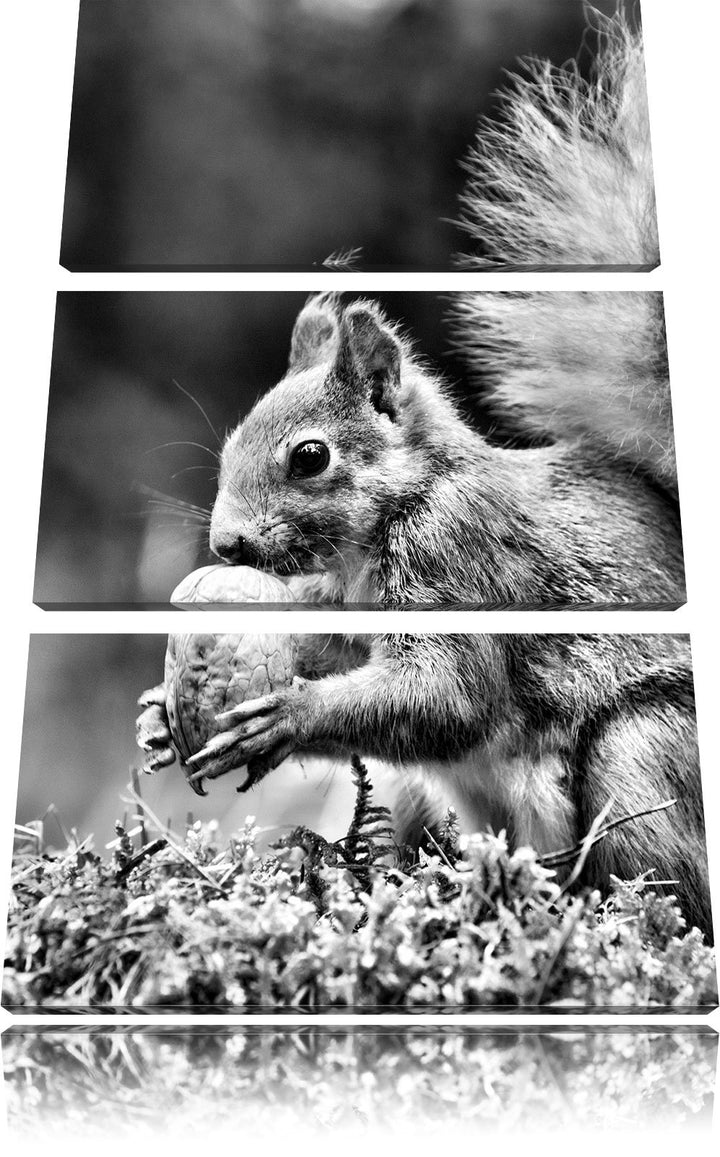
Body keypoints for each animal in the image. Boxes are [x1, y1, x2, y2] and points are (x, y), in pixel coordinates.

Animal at [137, 12, 711, 939]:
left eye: (310, 457)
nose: (226, 543)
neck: (401, 507)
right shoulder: (342, 607)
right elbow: (333, 648)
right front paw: (158, 713)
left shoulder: (463, 563)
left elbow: (445, 695)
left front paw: (288, 716)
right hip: (427, 799)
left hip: (642, 755)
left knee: (666, 878)